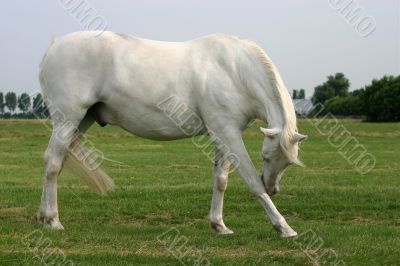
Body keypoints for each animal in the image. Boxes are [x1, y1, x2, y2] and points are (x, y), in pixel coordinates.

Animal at [37, 31, 306, 237]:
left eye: (288, 163)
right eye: (266, 157)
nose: (272, 188)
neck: (234, 71)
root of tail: (53, 47)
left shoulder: (223, 133)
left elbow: (220, 181)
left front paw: (219, 225)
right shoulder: (228, 134)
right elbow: (250, 180)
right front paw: (284, 227)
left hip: (81, 121)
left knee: (58, 162)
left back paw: (42, 216)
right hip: (67, 119)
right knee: (52, 162)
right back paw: (53, 220)